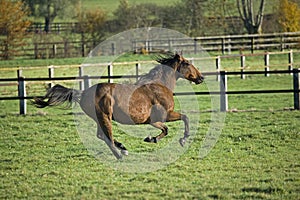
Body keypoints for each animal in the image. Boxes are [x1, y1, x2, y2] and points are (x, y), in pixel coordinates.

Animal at [32, 52, 204, 159]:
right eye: (187, 63)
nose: (201, 78)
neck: (159, 85)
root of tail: (83, 92)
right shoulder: (163, 115)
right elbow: (183, 119)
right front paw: (181, 139)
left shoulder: (153, 120)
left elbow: (168, 128)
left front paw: (151, 139)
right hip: (104, 116)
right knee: (106, 136)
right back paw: (120, 154)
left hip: (100, 118)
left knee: (102, 135)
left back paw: (123, 149)